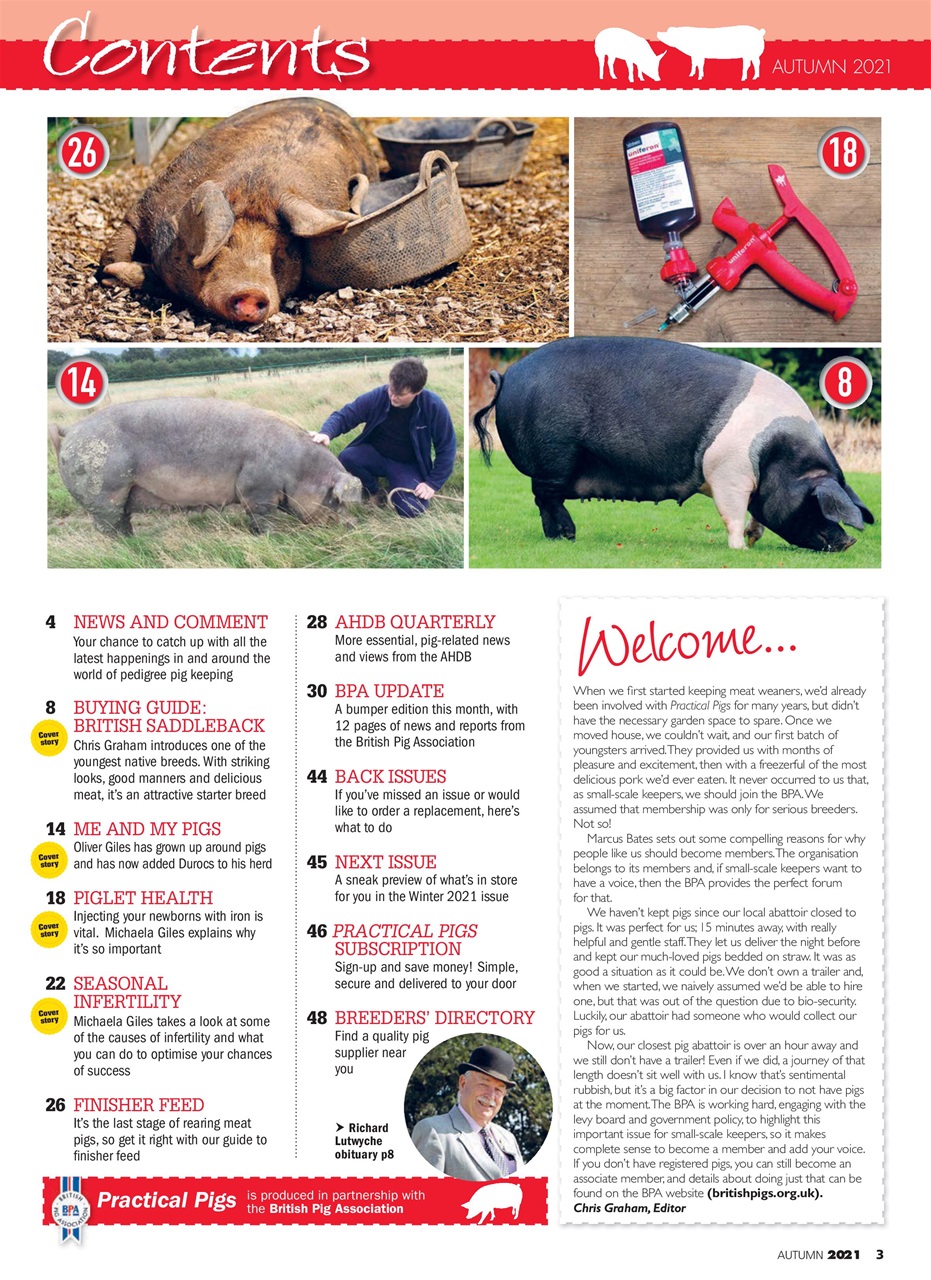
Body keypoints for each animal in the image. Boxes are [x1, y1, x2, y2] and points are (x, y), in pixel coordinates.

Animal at [52, 399, 363, 536]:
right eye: (334, 499)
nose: (353, 525)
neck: (299, 468)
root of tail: (71, 430)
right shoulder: (257, 489)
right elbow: (263, 518)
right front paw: (269, 537)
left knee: (122, 521)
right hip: (104, 491)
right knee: (108, 526)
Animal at [99, 99, 379, 325]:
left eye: (281, 251)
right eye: (225, 243)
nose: (251, 291)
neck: (258, 184)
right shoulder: (143, 208)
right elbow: (119, 247)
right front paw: (108, 277)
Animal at [472, 339, 874, 553]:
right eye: (816, 503)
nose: (849, 542)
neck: (775, 453)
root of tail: (506, 376)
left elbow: (756, 514)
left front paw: (752, 539)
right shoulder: (728, 473)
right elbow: (733, 512)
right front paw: (741, 549)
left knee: (542, 498)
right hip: (555, 455)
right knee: (546, 497)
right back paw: (568, 537)